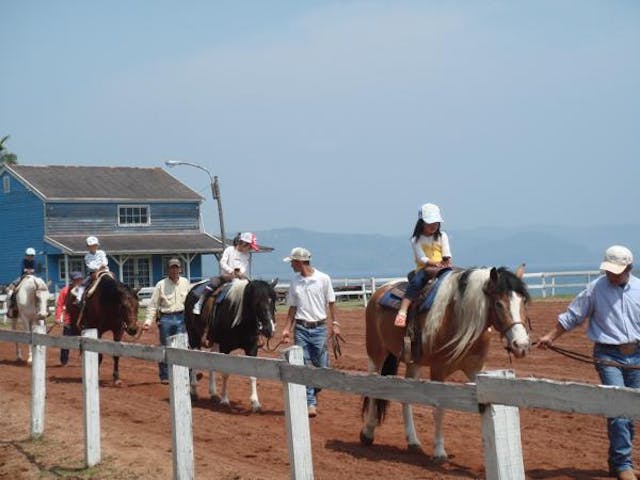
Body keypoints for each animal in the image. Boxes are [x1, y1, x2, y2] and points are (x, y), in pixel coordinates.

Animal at [184, 280, 276, 410]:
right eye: (256, 302)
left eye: (273, 301)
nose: (269, 330)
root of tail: (192, 289)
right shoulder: (225, 348)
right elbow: (225, 373)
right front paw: (225, 400)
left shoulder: (252, 348)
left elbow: (253, 374)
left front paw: (255, 403)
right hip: (193, 337)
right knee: (193, 359)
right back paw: (194, 391)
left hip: (215, 342)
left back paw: (213, 393)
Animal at [360, 266, 528, 462]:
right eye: (499, 304)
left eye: (523, 301)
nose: (521, 344)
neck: (458, 317)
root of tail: (379, 291)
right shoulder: (438, 370)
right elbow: (439, 409)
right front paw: (439, 451)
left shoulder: (476, 369)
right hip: (376, 354)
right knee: (372, 390)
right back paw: (368, 433)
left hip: (414, 363)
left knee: (406, 398)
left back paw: (413, 441)